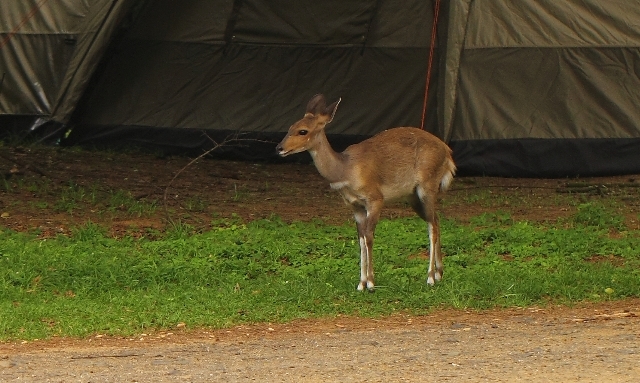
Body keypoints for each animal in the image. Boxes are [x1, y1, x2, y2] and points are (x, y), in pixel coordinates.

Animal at [276, 94, 456, 292]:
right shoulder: (355, 206)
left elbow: (369, 237)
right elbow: (361, 239)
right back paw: (439, 273)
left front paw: (370, 283)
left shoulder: (375, 199)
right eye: (290, 127)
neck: (346, 170)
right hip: (413, 197)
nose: (279, 148)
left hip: (427, 186)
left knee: (432, 226)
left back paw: (430, 277)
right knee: (436, 220)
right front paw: (361, 283)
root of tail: (448, 153)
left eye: (303, 131)